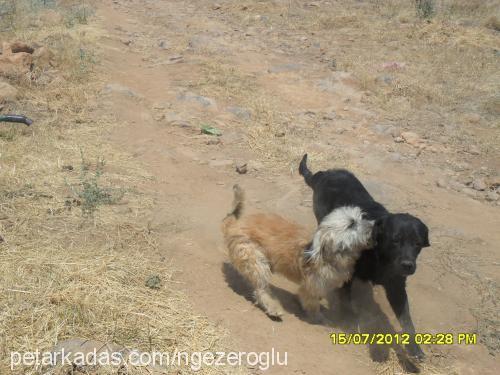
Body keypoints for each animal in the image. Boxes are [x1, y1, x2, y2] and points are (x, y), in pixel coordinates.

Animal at [223, 185, 376, 324]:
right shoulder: (312, 286)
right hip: (255, 260)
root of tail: (235, 224)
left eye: (361, 217)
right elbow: (312, 304)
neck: (330, 254)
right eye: (351, 224)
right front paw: (319, 318)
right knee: (261, 289)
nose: (373, 225)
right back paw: (273, 308)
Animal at [298, 154, 428, 360]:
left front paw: (414, 348)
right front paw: (350, 322)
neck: (379, 257)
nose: (408, 265)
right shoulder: (347, 273)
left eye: (417, 243)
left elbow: (406, 320)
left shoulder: (397, 288)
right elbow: (346, 301)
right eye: (395, 240)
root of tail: (325, 174)